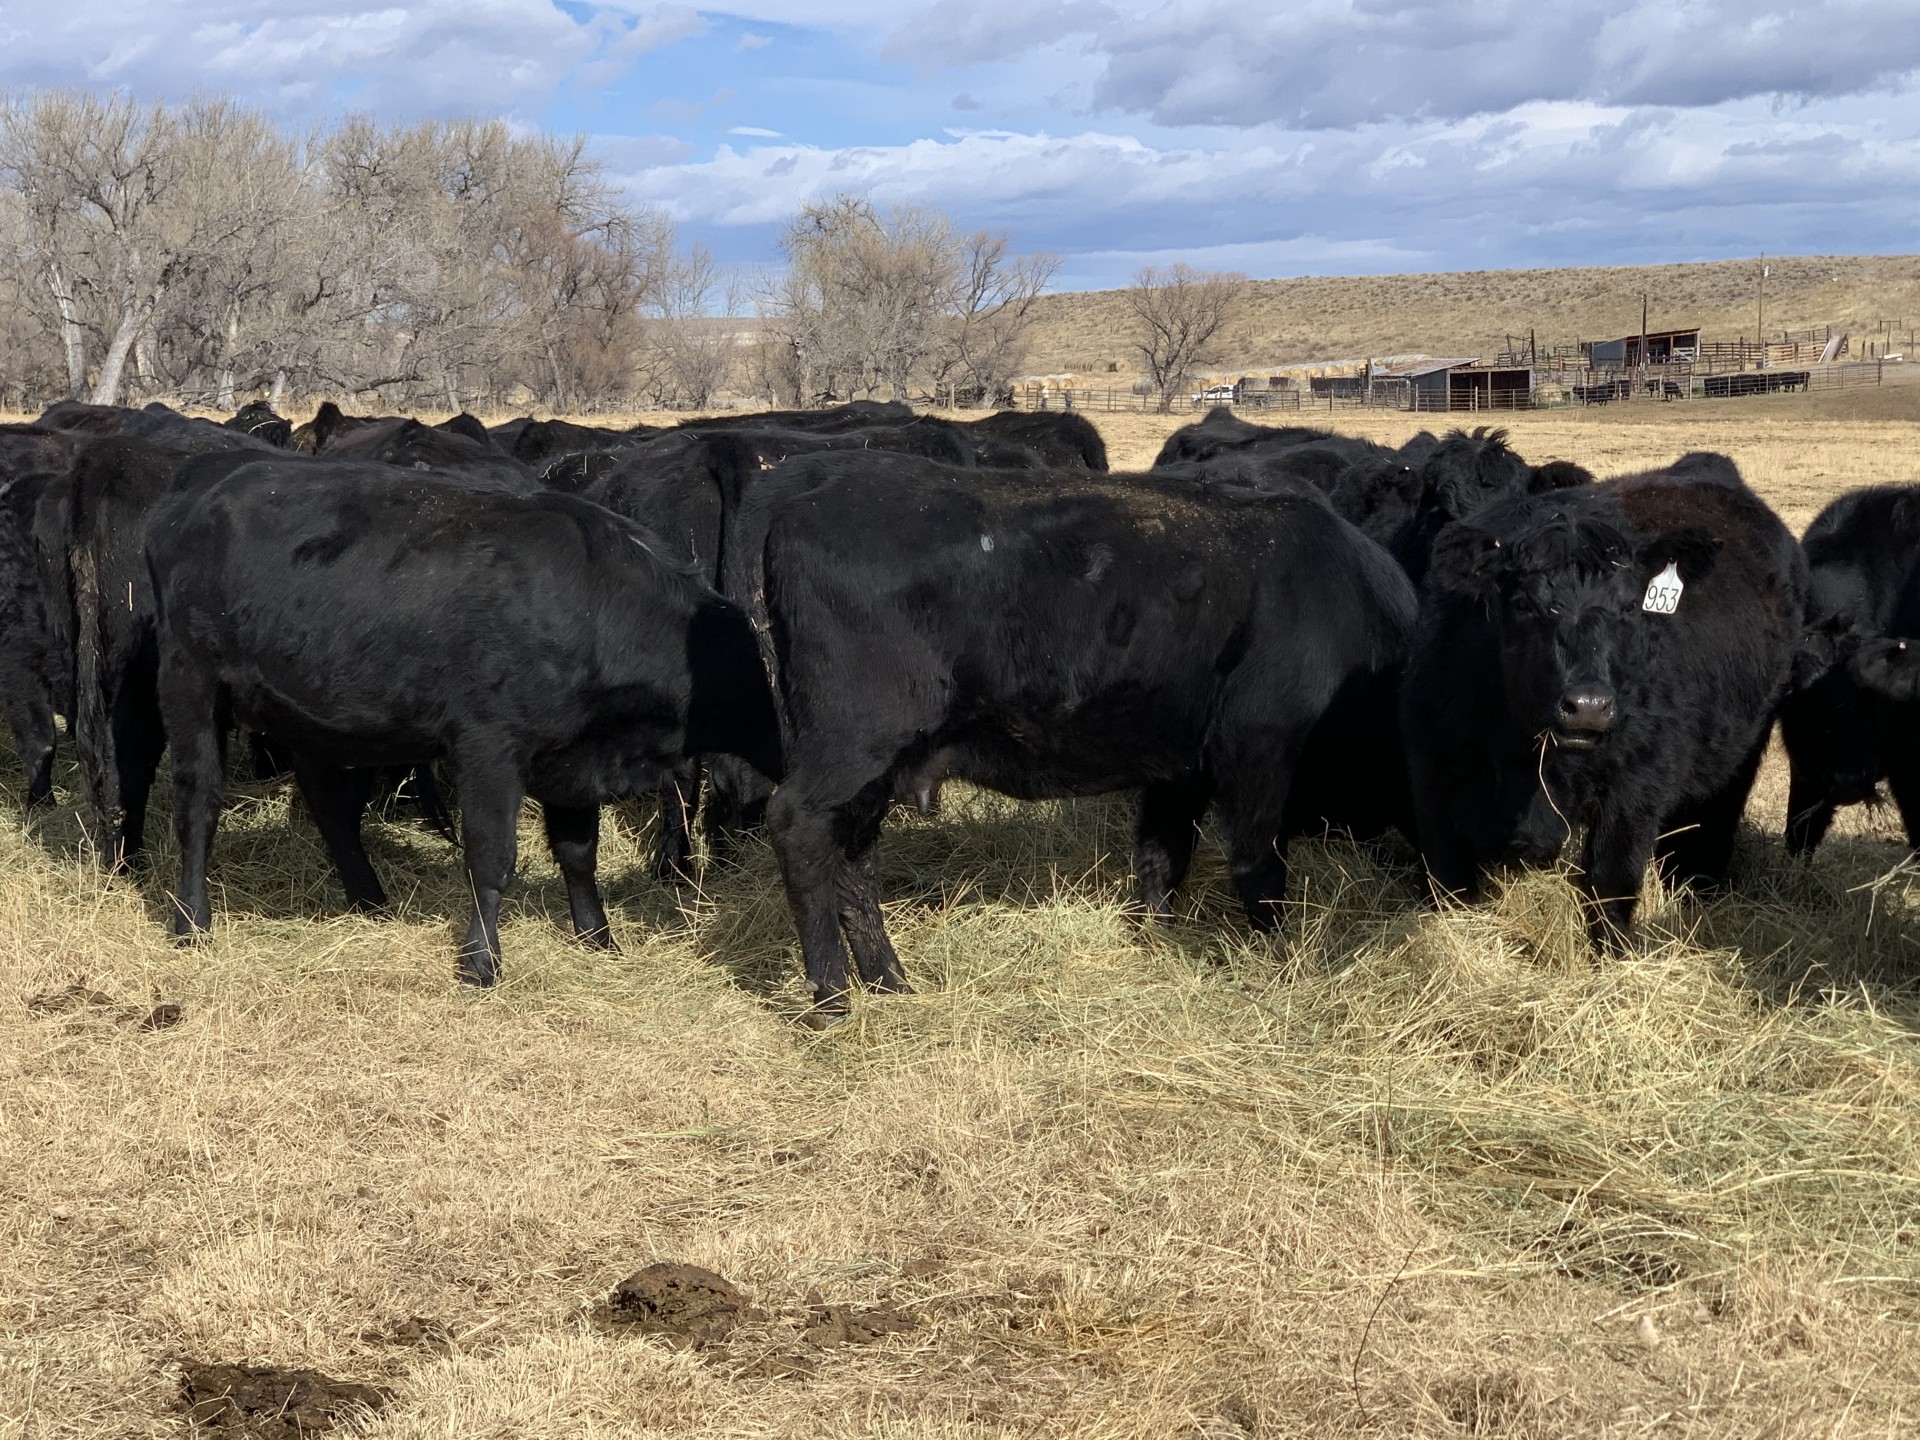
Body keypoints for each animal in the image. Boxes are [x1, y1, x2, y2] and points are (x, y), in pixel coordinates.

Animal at [144, 468, 779, 990]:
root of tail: (187, 506)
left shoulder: (571, 760)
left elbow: (579, 854)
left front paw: (598, 938)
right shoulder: (490, 746)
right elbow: (492, 858)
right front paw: (481, 961)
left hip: (311, 714)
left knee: (329, 807)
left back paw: (370, 901)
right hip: (189, 683)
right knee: (197, 806)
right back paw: (191, 922)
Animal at [718, 456, 1413, 1021]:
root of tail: (813, 476)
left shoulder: (1178, 767)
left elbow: (1162, 855)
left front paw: (1155, 940)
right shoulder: (1261, 751)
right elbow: (1259, 863)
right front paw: (1281, 956)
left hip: (876, 765)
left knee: (854, 857)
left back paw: (891, 981)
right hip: (852, 744)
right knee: (800, 826)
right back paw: (833, 999)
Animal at [1397, 456, 1797, 940]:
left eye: (1629, 607)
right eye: (1523, 604)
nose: (1587, 706)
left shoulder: (1636, 789)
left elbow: (1611, 887)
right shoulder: (1433, 776)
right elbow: (1447, 884)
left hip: (1740, 755)